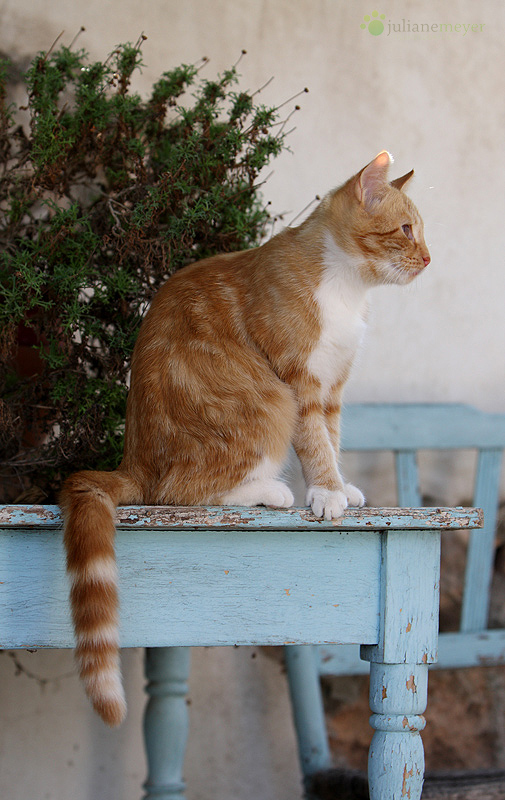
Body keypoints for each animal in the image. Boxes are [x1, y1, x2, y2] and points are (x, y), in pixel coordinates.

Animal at [60, 148, 430, 724]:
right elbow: (315, 444)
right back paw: (270, 492)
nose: (430, 259)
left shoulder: (333, 388)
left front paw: (340, 487)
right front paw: (325, 494)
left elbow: (333, 440)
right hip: (267, 404)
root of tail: (132, 458)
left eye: (422, 231)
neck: (347, 288)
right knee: (180, 493)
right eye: (406, 230)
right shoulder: (300, 384)